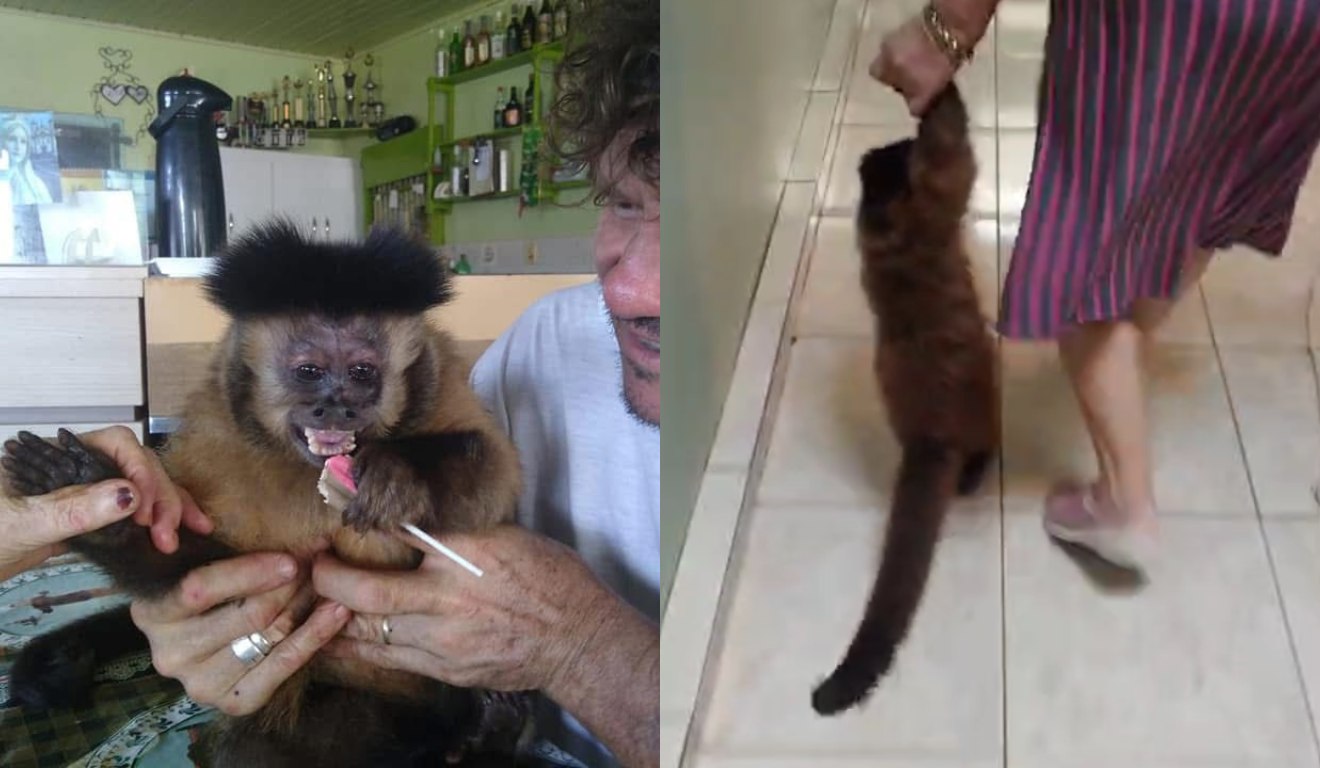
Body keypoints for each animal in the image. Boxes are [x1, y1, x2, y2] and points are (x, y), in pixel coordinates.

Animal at [1, 220, 537, 766]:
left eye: (362, 372)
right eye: (309, 372)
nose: (336, 408)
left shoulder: (438, 387)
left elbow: (493, 473)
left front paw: (397, 473)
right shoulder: (216, 444)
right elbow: (196, 569)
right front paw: (100, 508)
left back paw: (491, 731)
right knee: (261, 748)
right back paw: (478, 737)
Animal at [810, 84, 999, 716]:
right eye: (898, 150)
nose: (899, 140)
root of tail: (929, 436)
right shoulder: (944, 183)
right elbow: (954, 144)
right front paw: (938, 93)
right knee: (979, 456)